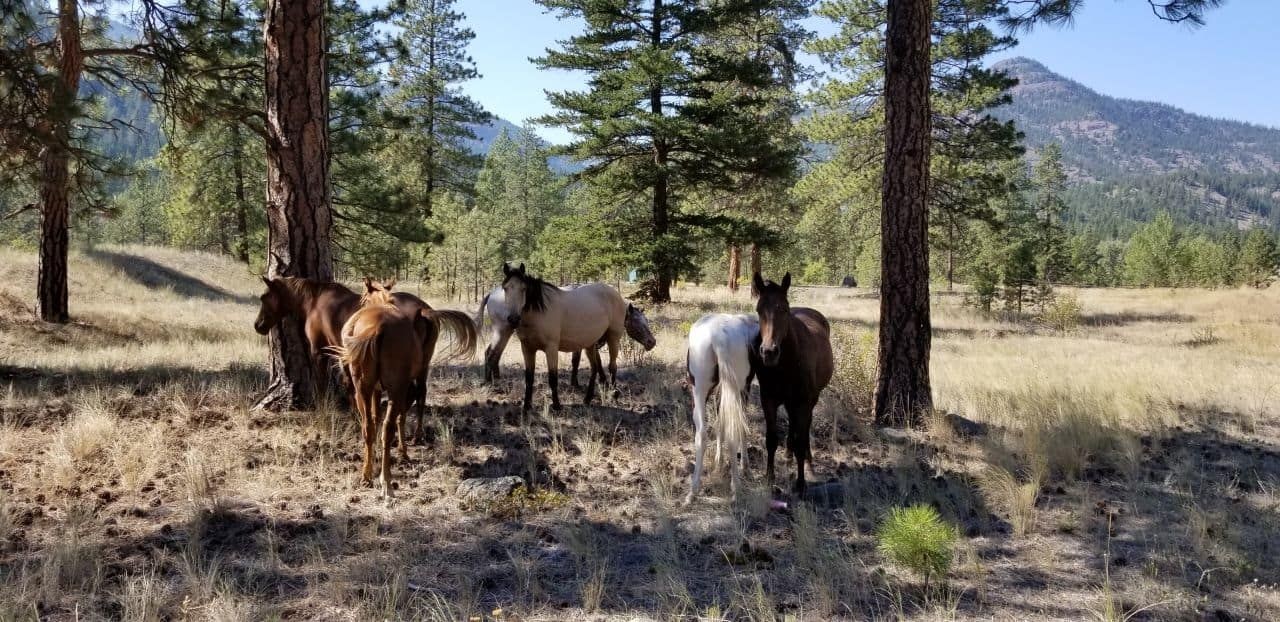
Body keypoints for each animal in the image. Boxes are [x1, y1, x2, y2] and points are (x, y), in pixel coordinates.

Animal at [686, 311, 752, 504]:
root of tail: (719, 335)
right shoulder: (744, 389)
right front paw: (744, 465)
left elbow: (719, 423)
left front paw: (719, 462)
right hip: (736, 389)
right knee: (733, 430)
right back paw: (736, 488)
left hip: (699, 389)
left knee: (701, 434)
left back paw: (693, 491)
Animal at [747, 272, 839, 496]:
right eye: (759, 309)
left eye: (784, 309)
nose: (769, 352)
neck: (786, 364)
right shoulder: (768, 399)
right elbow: (771, 439)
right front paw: (769, 478)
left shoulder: (803, 402)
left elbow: (801, 439)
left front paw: (801, 483)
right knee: (792, 425)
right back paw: (788, 455)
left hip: (811, 400)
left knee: (804, 430)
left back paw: (808, 461)